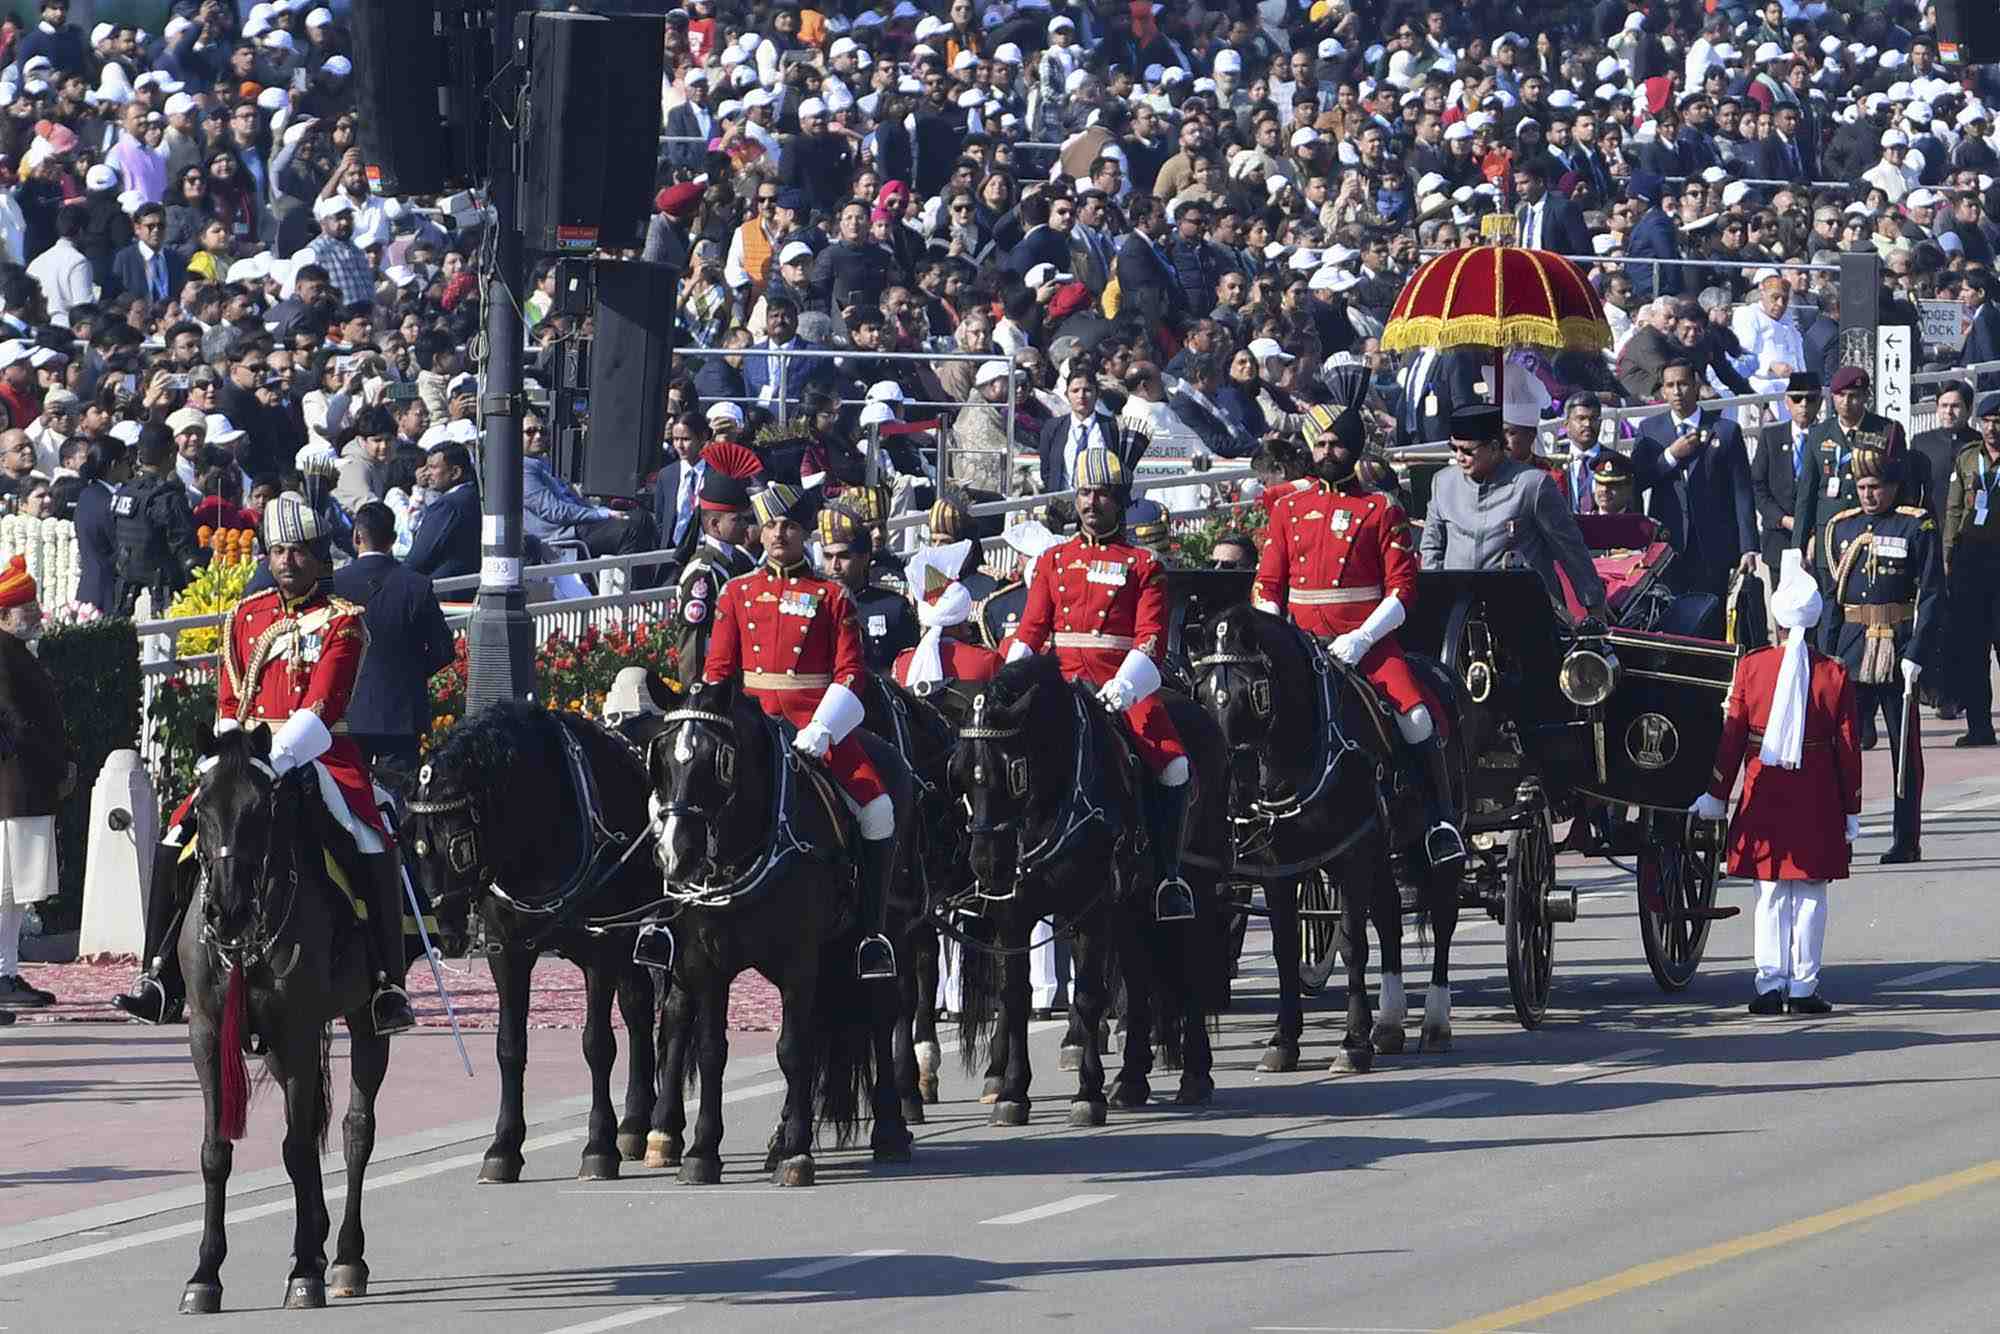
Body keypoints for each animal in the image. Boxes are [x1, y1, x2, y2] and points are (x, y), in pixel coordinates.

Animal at [176, 724, 390, 1312]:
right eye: (200, 807)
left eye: (262, 807)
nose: (227, 910)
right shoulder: (208, 1034)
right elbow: (215, 1151)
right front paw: (205, 1274)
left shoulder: (295, 1031)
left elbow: (296, 1150)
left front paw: (306, 1272)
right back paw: (315, 1240)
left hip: (365, 1022)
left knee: (355, 1129)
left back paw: (344, 1257)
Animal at [402, 704, 660, 1184]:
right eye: (417, 844)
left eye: (459, 845)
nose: (445, 932)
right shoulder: (509, 952)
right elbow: (510, 1046)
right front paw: (504, 1146)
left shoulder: (602, 948)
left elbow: (597, 1044)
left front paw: (599, 1146)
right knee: (638, 1009)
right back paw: (636, 1123)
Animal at [648, 684, 916, 1184]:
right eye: (659, 756)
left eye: (721, 760)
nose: (676, 854)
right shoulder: (704, 961)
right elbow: (712, 1050)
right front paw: (702, 1151)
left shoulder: (798, 959)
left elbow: (792, 1049)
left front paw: (797, 1151)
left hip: (880, 940)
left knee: (879, 1011)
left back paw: (888, 1130)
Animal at [944, 652, 1224, 1120]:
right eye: (960, 773)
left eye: (1013, 773)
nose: (987, 864)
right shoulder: (1013, 915)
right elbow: (1014, 997)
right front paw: (1012, 1092)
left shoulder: (1090, 908)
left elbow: (1090, 996)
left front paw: (1088, 1094)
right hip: (1131, 903)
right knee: (1139, 978)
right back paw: (1131, 1079)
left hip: (1195, 887)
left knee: (1193, 967)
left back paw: (1195, 1075)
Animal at [1184, 612, 1472, 1080]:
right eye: (1203, 694)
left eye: (1255, 693)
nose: (1231, 791)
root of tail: (1440, 671)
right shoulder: (1279, 868)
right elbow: (1285, 950)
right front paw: (1283, 1041)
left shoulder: (1353, 854)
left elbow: (1354, 946)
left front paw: (1353, 1043)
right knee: (1389, 916)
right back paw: (1389, 1024)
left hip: (1441, 841)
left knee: (1444, 914)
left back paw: (1435, 1022)